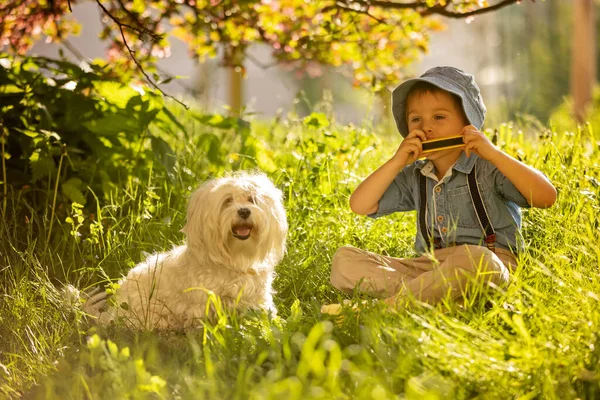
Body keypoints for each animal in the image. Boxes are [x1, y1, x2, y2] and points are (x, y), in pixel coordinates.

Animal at [81, 172, 288, 332]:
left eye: (252, 199)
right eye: (228, 201)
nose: (244, 211)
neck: (234, 260)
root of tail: (110, 312)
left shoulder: (257, 300)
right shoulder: (203, 305)